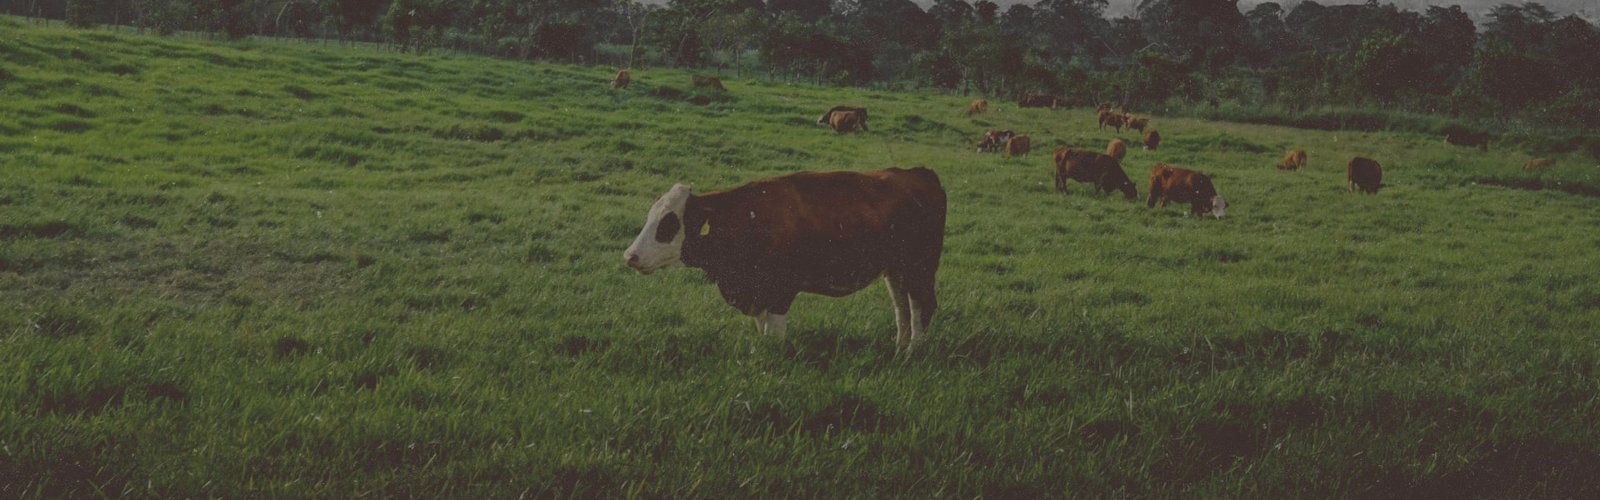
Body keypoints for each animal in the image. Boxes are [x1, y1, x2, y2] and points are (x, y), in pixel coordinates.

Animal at [623, 168, 947, 354]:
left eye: (669, 224)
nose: (630, 256)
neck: (751, 219)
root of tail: (919, 172)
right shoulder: (756, 292)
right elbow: (762, 327)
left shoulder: (782, 289)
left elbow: (774, 332)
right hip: (896, 269)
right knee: (902, 306)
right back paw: (899, 344)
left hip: (920, 266)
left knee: (921, 305)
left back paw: (913, 350)